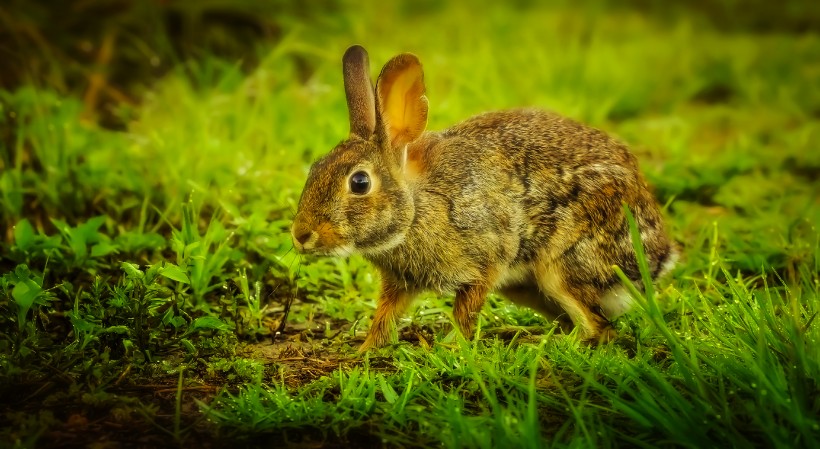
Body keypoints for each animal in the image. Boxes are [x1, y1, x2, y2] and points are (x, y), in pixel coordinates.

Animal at [292, 45, 676, 350]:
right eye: (315, 167)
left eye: (359, 182)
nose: (300, 236)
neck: (416, 208)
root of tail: (658, 256)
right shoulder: (400, 283)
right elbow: (385, 317)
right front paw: (364, 353)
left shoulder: (487, 260)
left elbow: (464, 311)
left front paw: (450, 349)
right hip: (526, 287)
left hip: (562, 266)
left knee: (598, 327)